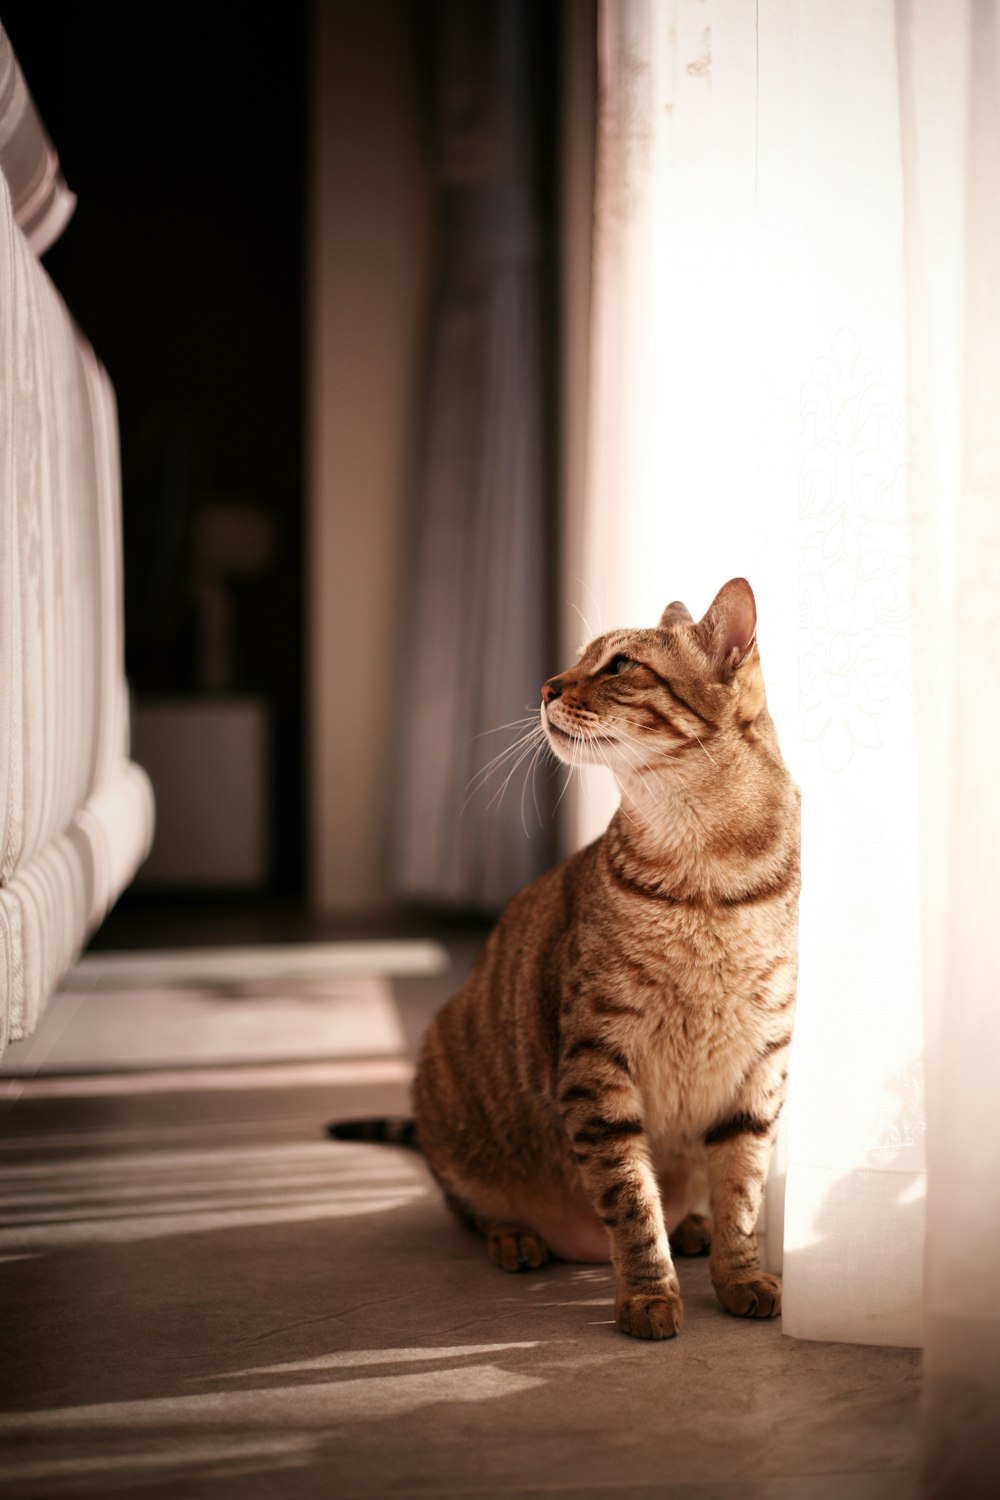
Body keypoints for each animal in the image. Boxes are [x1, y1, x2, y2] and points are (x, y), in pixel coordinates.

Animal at [410, 579, 803, 1344]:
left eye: (619, 665)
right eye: (578, 659)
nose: (545, 685)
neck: (704, 873)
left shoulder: (759, 1069)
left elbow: (742, 1194)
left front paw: (740, 1276)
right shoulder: (597, 1063)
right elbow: (631, 1201)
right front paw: (648, 1294)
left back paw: (692, 1227)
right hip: (446, 1092)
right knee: (472, 1210)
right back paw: (517, 1238)